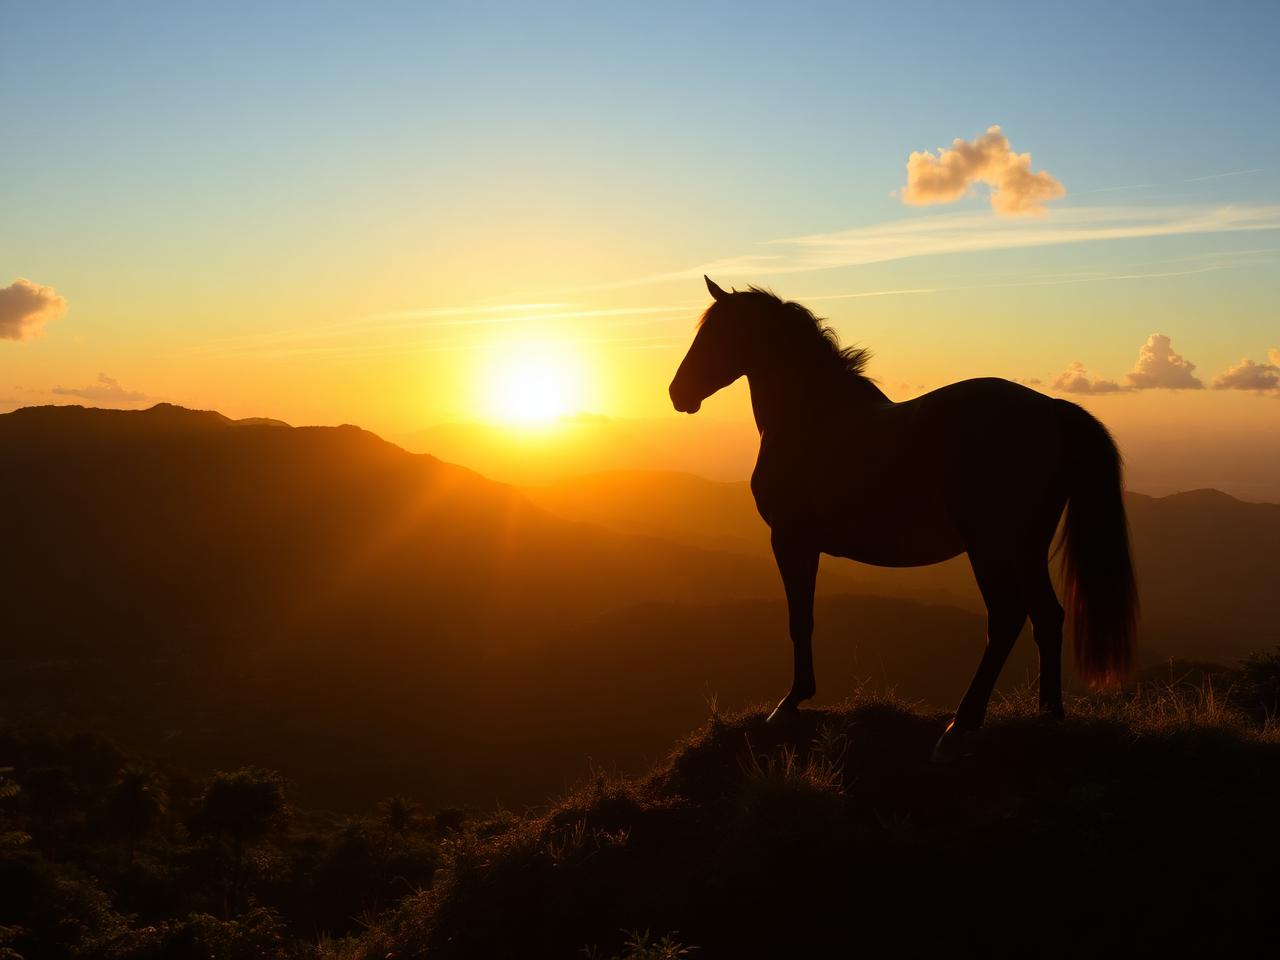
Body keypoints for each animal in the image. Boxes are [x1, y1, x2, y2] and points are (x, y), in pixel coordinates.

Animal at [669, 277, 1137, 759]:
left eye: (717, 335)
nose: (677, 392)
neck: (813, 417)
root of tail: (1050, 410)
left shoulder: (790, 539)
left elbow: (800, 618)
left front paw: (791, 702)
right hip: (1028, 546)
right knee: (1047, 616)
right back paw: (1047, 718)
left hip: (990, 545)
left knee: (1007, 618)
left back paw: (961, 725)